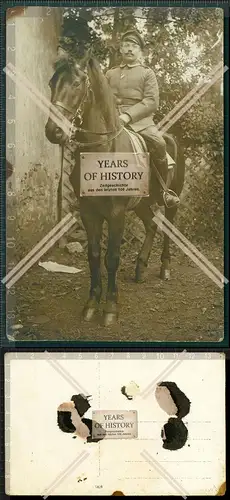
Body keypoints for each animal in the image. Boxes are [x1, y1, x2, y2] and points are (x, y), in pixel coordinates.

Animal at [45, 54, 185, 328]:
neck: (103, 149)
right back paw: (141, 267)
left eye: (77, 83)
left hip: (170, 200)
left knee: (167, 228)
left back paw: (164, 268)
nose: (53, 131)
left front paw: (110, 308)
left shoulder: (116, 213)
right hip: (142, 202)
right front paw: (91, 304)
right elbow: (94, 255)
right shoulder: (89, 212)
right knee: (151, 225)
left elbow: (112, 257)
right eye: (51, 83)